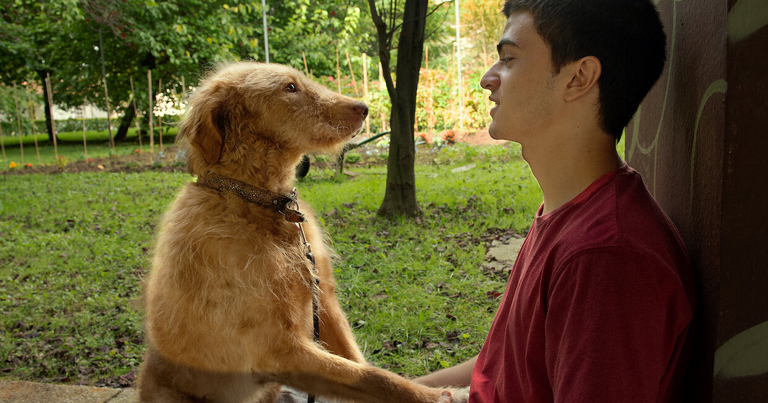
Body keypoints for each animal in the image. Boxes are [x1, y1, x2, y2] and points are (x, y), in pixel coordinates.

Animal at [137, 60, 468, 403]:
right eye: (290, 88)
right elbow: (372, 377)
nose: (364, 108)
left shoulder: (324, 301)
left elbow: (360, 364)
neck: (266, 205)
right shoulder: (277, 350)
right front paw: (441, 395)